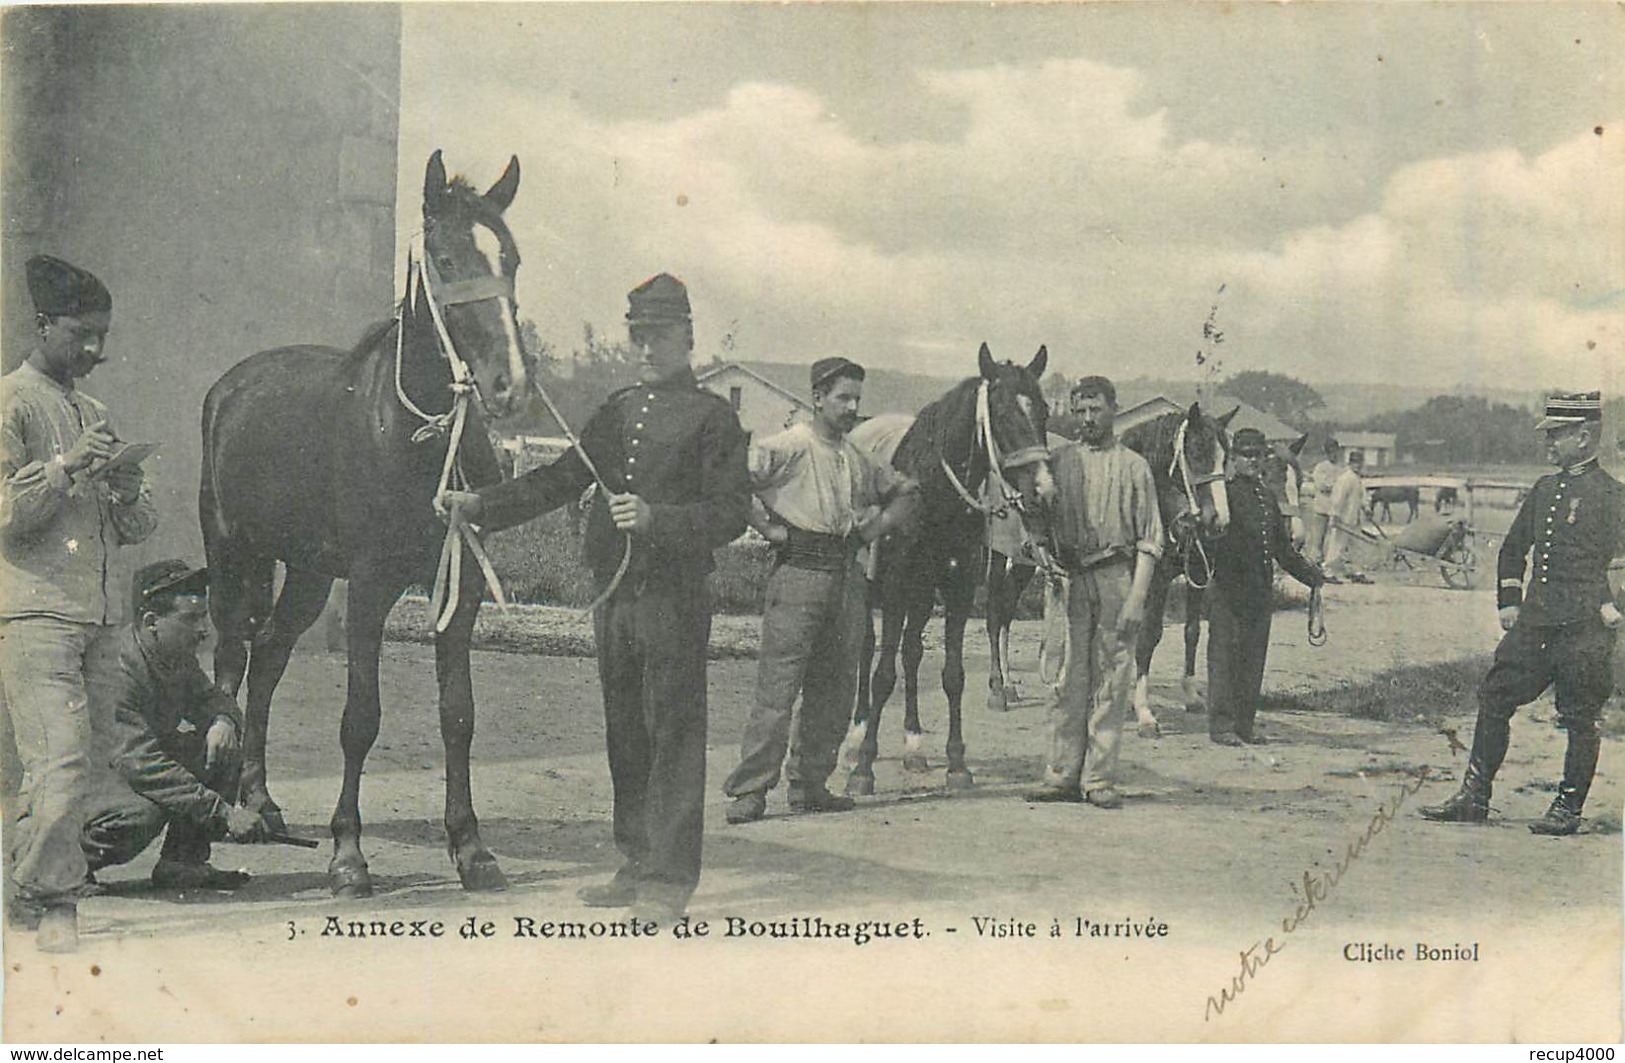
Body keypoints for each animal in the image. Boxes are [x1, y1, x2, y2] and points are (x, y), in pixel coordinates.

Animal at [199, 151, 523, 897]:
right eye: (445, 258)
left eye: (511, 258)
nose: (508, 384)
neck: (414, 433)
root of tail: (231, 386)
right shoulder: (372, 587)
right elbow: (360, 719)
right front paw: (347, 855)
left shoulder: (458, 590)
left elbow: (457, 715)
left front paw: (472, 849)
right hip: (234, 554)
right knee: (231, 658)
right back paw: (231, 809)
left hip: (310, 573)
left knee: (270, 656)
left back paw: (262, 800)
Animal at [838, 346, 1053, 796]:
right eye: (1002, 413)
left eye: (1044, 411)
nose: (1043, 489)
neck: (933, 492)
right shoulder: (896, 587)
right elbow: (883, 675)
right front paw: (863, 768)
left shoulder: (957, 590)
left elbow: (952, 675)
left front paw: (956, 763)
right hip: (872, 587)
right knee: (868, 649)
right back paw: (854, 738)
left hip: (923, 593)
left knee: (912, 652)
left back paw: (914, 745)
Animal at [1124, 404, 1235, 737]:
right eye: (1196, 451)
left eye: (1226, 457)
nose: (1218, 521)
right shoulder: (1156, 580)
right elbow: (1148, 636)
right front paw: (1145, 713)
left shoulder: (1196, 573)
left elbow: (1193, 630)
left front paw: (1191, 694)